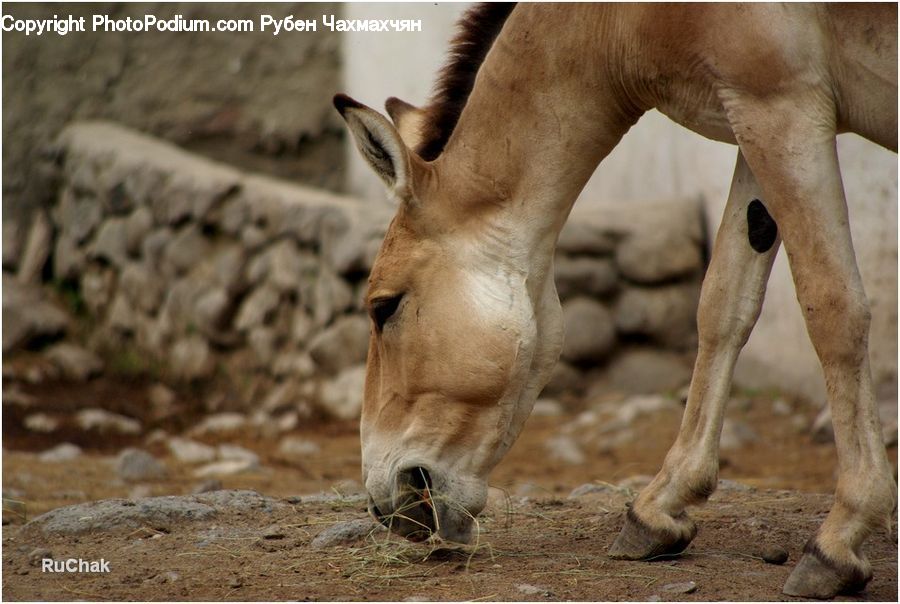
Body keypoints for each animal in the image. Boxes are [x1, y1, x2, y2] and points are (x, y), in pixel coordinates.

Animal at [333, 3, 897, 598]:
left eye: (383, 307)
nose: (384, 505)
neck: (617, 19)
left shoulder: (783, 105)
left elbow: (833, 307)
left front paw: (841, 537)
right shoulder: (752, 114)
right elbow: (724, 303)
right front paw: (659, 509)